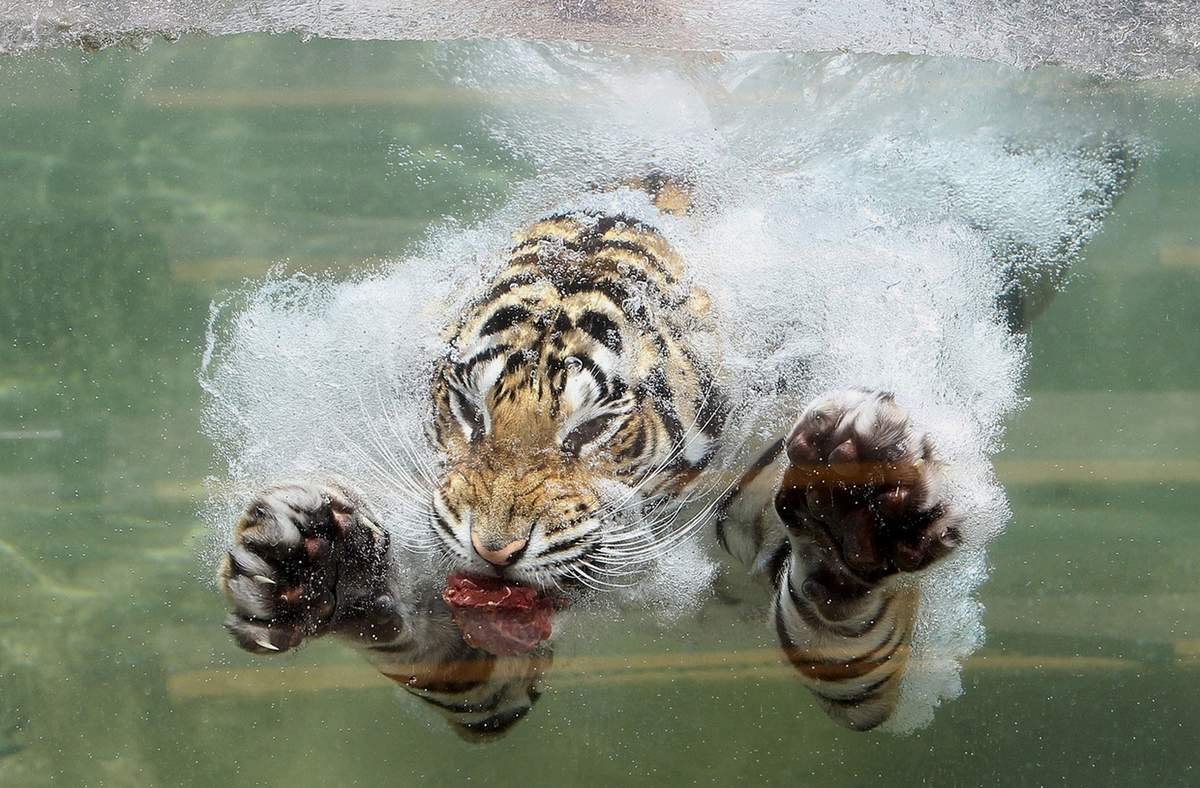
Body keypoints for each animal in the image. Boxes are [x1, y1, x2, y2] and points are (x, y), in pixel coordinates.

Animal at [217, 163, 1132, 737]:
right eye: (470, 412)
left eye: (592, 428)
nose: (495, 550)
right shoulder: (488, 670)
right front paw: (317, 562)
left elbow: (840, 627)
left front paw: (852, 513)